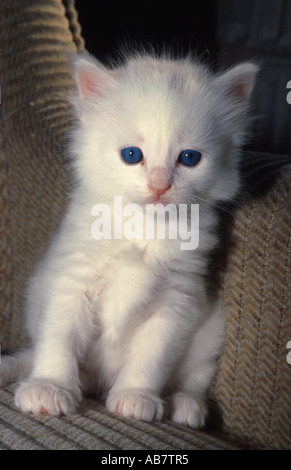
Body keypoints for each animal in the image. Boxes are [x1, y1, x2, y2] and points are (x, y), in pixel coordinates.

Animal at [0, 50, 258, 426]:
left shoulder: (176, 299)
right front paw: (50, 386)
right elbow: (60, 337)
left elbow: (150, 357)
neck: (146, 227)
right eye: (132, 155)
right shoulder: (71, 281)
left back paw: (185, 405)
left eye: (189, 158)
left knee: (194, 378)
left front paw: (136, 397)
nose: (159, 185)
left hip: (210, 331)